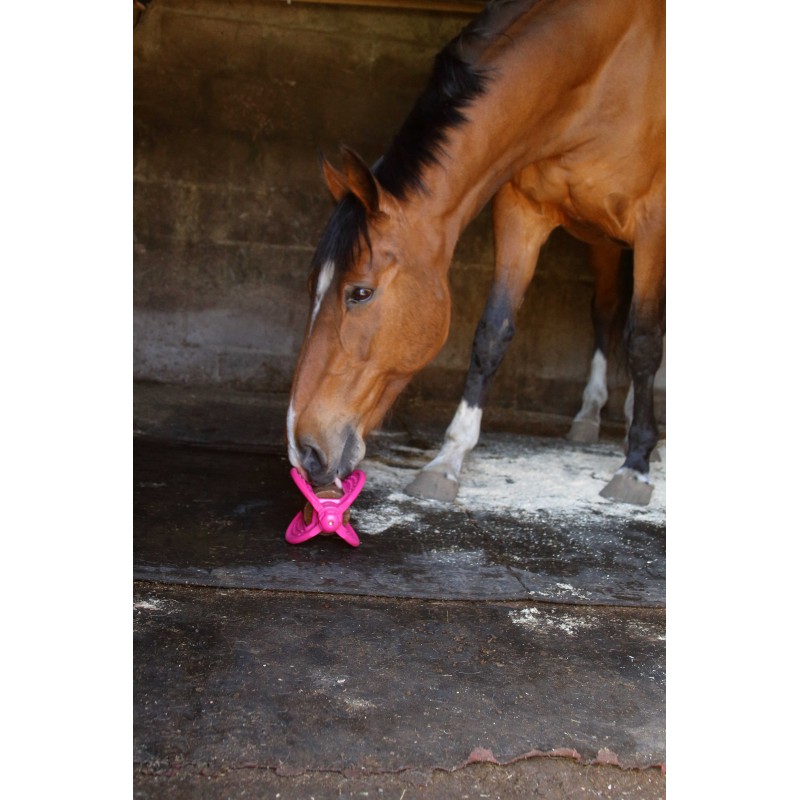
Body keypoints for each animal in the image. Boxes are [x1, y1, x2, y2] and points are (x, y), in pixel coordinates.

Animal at [286, 0, 665, 506]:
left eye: (360, 292)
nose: (303, 452)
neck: (605, 65)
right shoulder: (522, 213)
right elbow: (492, 334)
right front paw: (447, 460)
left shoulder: (654, 223)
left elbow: (643, 341)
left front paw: (636, 465)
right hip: (600, 239)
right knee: (605, 311)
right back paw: (591, 414)